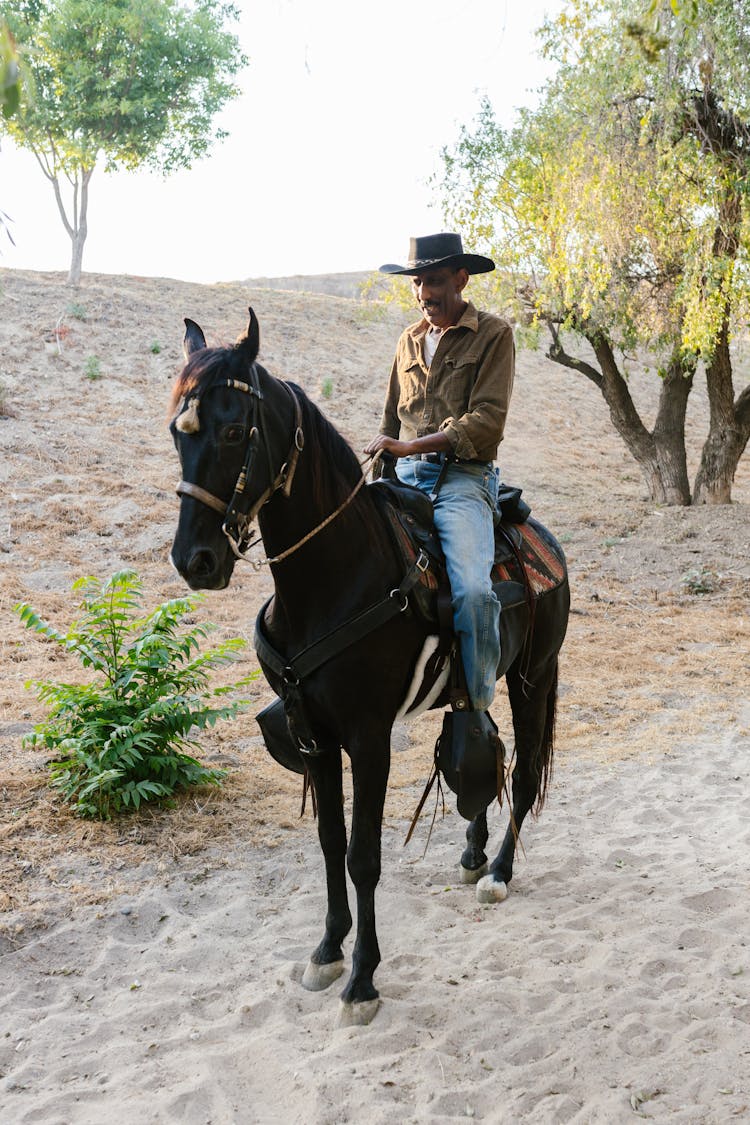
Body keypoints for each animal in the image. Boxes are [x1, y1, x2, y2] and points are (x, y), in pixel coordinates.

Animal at [169, 310, 568, 1030]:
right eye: (175, 431)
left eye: (236, 430)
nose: (196, 560)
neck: (335, 576)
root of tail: (540, 537)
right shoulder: (315, 738)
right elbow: (330, 841)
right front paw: (328, 949)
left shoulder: (369, 737)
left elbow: (363, 856)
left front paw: (362, 979)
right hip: (481, 685)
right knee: (481, 751)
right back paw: (472, 852)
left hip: (536, 676)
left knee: (522, 774)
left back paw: (498, 871)